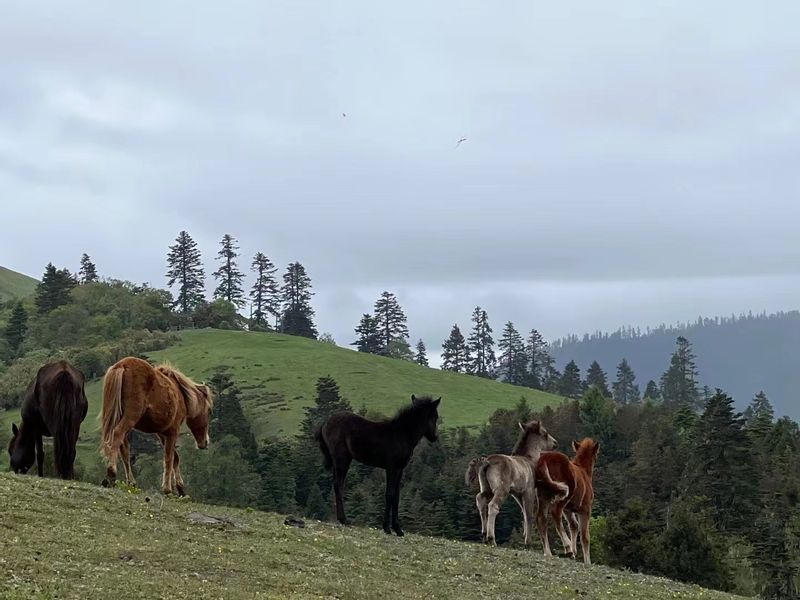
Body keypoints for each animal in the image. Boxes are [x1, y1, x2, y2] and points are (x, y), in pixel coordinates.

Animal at [99, 358, 212, 494]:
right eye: (209, 411)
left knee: (123, 448)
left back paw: (131, 482)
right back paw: (111, 473)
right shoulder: (173, 431)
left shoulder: (162, 433)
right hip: (130, 418)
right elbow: (169, 458)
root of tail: (122, 365)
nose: (205, 443)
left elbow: (175, 458)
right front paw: (167, 488)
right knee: (117, 435)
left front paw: (180, 489)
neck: (180, 394)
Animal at [316, 396, 440, 536]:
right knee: (339, 485)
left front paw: (398, 529)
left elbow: (397, 496)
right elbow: (389, 494)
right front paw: (387, 528)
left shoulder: (400, 469)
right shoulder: (391, 468)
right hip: (342, 459)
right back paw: (344, 520)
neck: (402, 434)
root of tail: (325, 423)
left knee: (336, 484)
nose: (435, 437)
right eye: (435, 416)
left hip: (336, 461)